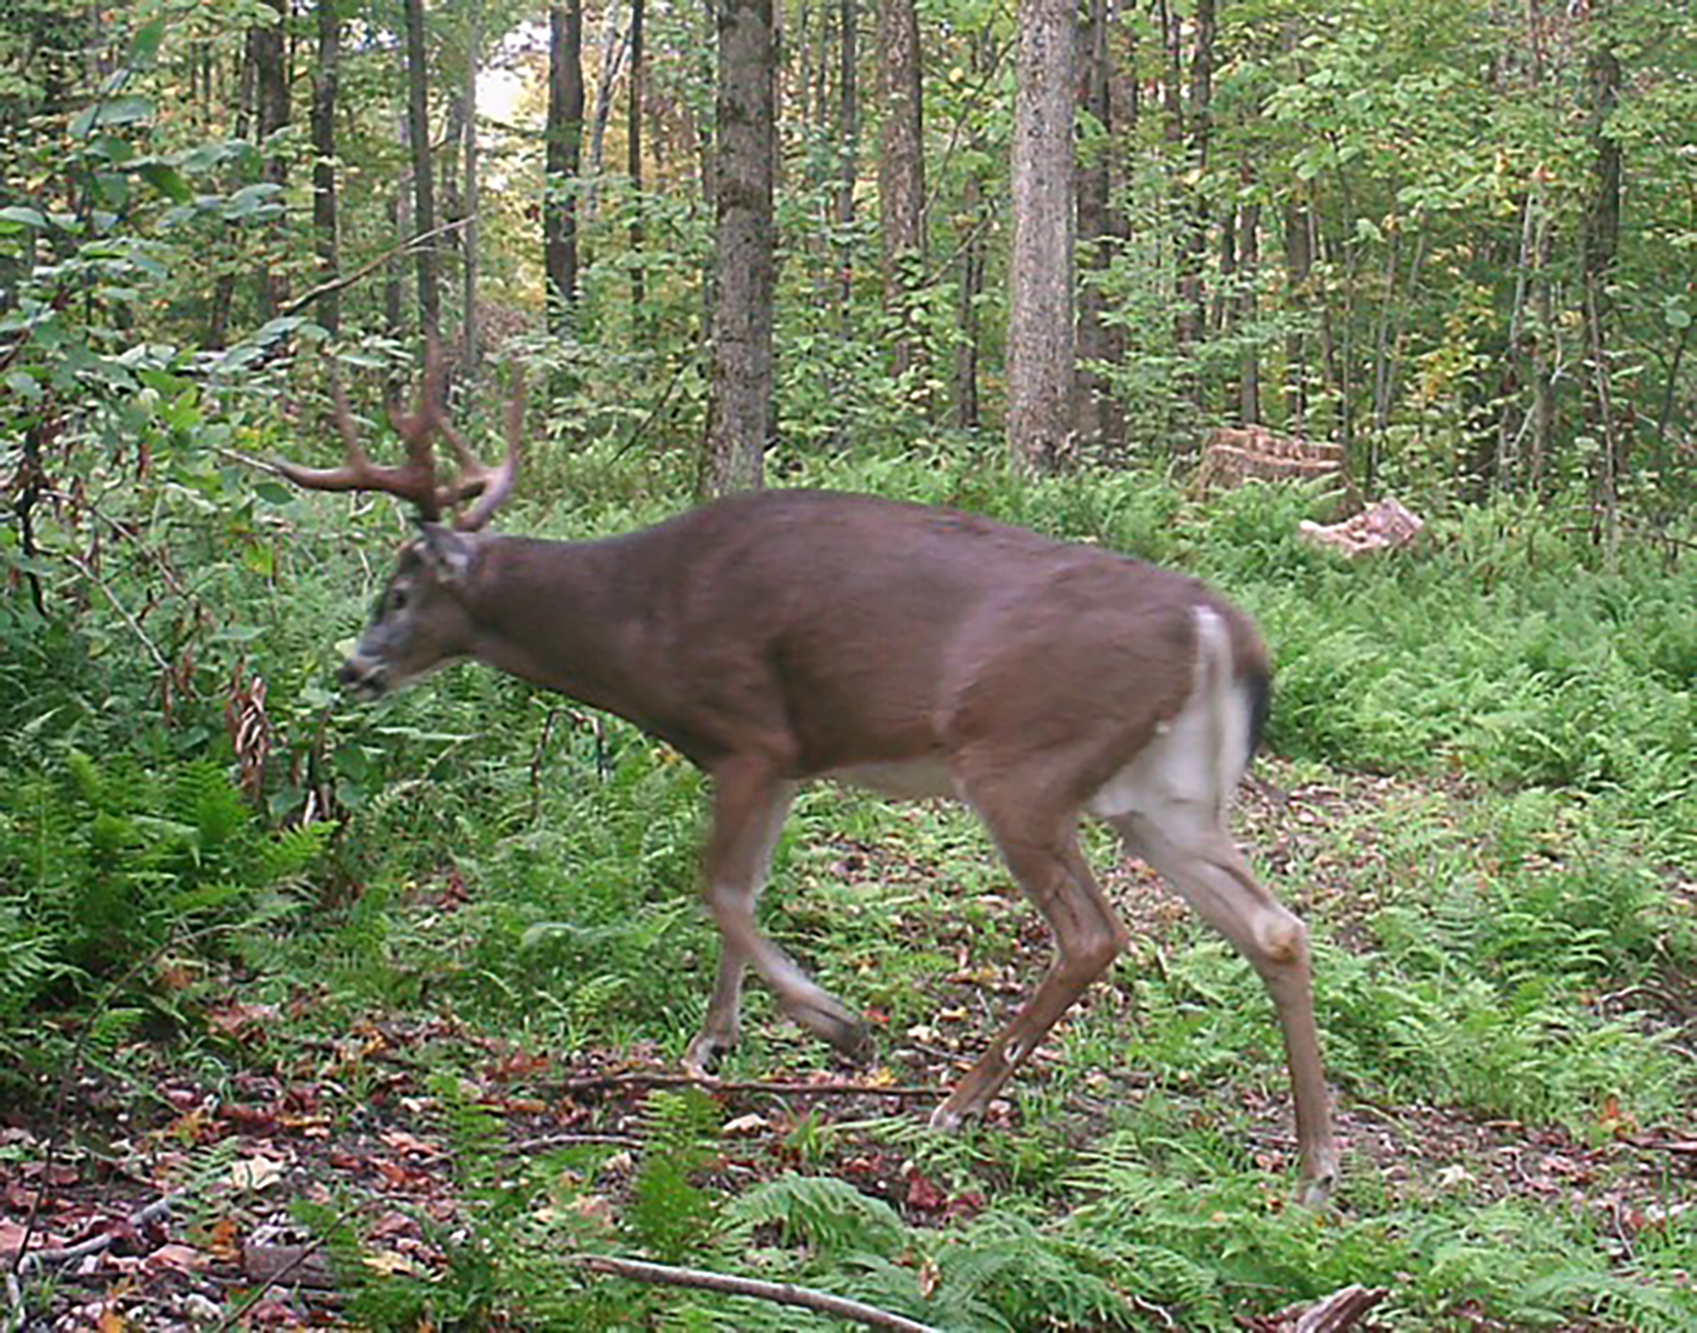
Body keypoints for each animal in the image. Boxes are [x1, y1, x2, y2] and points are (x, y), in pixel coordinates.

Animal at [276, 358, 1341, 1206]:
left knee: (1092, 933)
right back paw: (1315, 1165)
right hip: (1161, 797)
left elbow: (715, 887)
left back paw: (954, 1106)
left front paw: (835, 1025)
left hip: (1021, 763)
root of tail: (1216, 624)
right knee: (1276, 927)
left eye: (399, 591)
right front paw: (712, 1044)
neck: (637, 621)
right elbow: (742, 892)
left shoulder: (748, 731)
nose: (352, 668)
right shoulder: (784, 759)